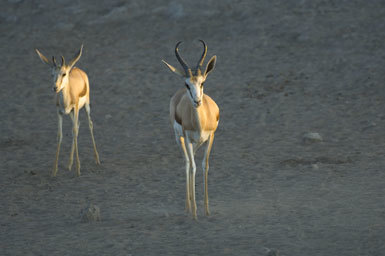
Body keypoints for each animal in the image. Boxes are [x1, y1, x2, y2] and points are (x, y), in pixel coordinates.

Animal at [35, 45, 100, 176]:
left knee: (89, 124)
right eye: (52, 74)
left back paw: (96, 159)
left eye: (64, 74)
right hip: (70, 113)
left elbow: (74, 131)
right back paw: (69, 164)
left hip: (85, 107)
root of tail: (77, 69)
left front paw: (78, 169)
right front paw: (54, 171)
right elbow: (60, 135)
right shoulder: (59, 113)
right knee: (78, 125)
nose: (55, 87)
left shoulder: (76, 108)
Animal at [161, 40, 219, 218]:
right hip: (180, 138)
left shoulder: (211, 137)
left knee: (191, 160)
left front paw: (206, 210)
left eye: (202, 82)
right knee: (187, 162)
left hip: (197, 143)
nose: (197, 101)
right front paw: (194, 213)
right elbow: (193, 166)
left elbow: (204, 165)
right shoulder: (187, 138)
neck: (201, 122)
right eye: (187, 84)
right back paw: (188, 206)